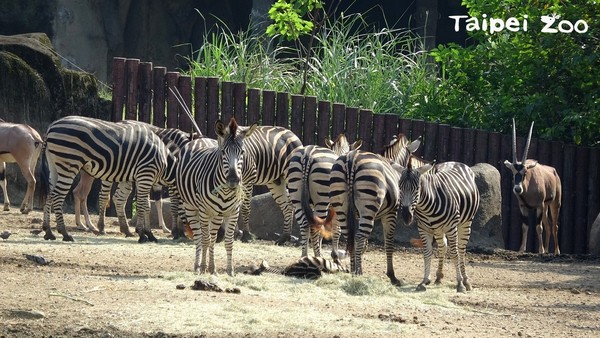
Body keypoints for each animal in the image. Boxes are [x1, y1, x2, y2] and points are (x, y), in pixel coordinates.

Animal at [41, 116, 172, 243]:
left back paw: (49, 231)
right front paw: (144, 234)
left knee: (52, 194)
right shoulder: (145, 174)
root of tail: (50, 128)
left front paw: (133, 231)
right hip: (69, 164)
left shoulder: (133, 176)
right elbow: (142, 203)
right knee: (59, 195)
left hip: (55, 166)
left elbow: (130, 200)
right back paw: (66, 233)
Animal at [176, 117, 255, 276]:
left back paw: (209, 266)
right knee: (200, 238)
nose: (233, 180)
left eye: (242, 152)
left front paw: (229, 271)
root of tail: (200, 139)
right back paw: (198, 266)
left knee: (210, 238)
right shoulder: (205, 212)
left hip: (215, 215)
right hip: (192, 208)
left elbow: (227, 241)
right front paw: (205, 268)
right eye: (223, 152)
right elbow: (206, 240)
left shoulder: (233, 213)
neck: (226, 191)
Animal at [326, 151, 406, 286]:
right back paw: (358, 272)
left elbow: (362, 242)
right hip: (368, 204)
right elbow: (389, 243)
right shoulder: (391, 213)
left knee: (350, 237)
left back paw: (353, 270)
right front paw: (392, 276)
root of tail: (351, 158)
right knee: (358, 237)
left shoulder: (357, 215)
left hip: (341, 205)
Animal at [400, 160, 480, 292]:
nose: (406, 216)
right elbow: (427, 253)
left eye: (417, 188)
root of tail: (456, 162)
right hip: (438, 229)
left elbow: (454, 254)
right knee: (443, 247)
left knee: (461, 250)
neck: (427, 207)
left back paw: (466, 281)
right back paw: (438, 277)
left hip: (466, 222)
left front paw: (460, 284)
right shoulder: (423, 229)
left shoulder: (451, 228)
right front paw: (424, 281)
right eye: (399, 187)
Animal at [502, 120, 564, 255]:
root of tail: (554, 172)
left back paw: (556, 251)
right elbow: (525, 227)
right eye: (513, 172)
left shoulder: (539, 206)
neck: (528, 187)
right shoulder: (523, 207)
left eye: (525, 172)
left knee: (554, 226)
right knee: (548, 226)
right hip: (545, 207)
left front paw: (540, 250)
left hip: (554, 204)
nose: (517, 189)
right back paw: (547, 250)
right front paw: (521, 249)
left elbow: (538, 227)